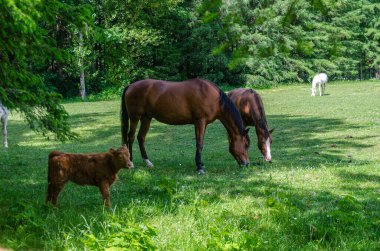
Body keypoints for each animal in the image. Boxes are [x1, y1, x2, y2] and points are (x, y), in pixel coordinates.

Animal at [121, 77, 249, 174]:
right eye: (246, 144)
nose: (247, 163)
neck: (214, 97)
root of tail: (130, 86)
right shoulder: (200, 121)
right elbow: (200, 144)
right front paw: (199, 167)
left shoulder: (202, 123)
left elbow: (199, 143)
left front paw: (200, 164)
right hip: (135, 117)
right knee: (131, 137)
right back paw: (131, 162)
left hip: (146, 118)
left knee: (141, 137)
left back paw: (148, 162)